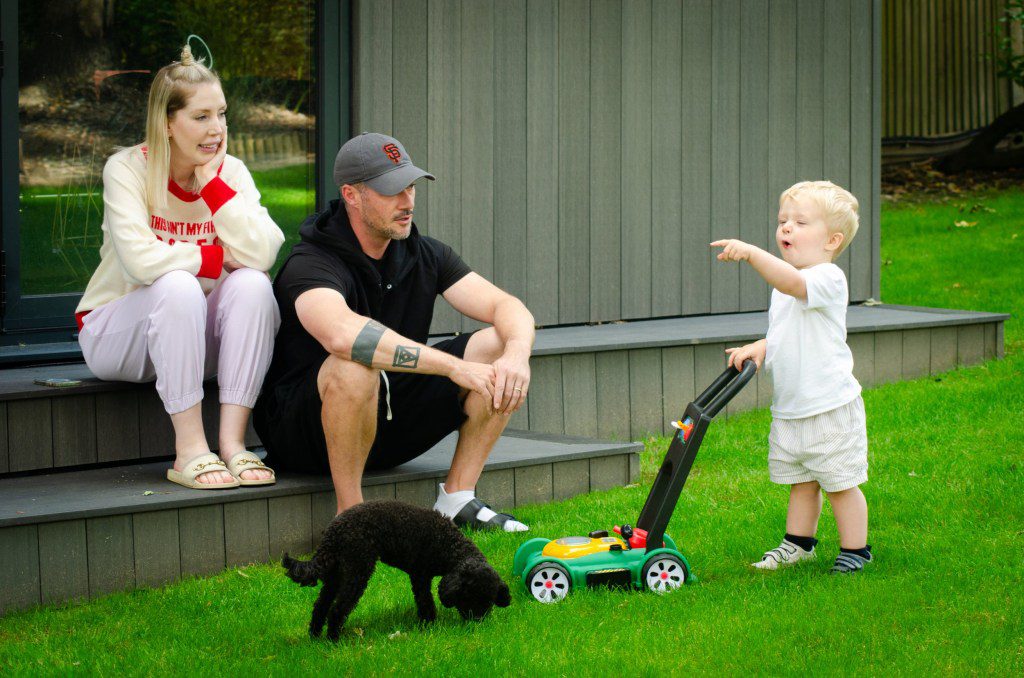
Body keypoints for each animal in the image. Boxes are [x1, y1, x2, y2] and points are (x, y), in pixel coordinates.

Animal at [282, 499, 509, 643]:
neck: (450, 545)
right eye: (470, 598)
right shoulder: (420, 576)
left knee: (321, 605)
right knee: (338, 609)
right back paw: (333, 640)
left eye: (489, 602)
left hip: (336, 573)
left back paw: (315, 637)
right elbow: (426, 603)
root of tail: (333, 532)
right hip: (358, 570)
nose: (477, 623)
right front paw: (429, 625)